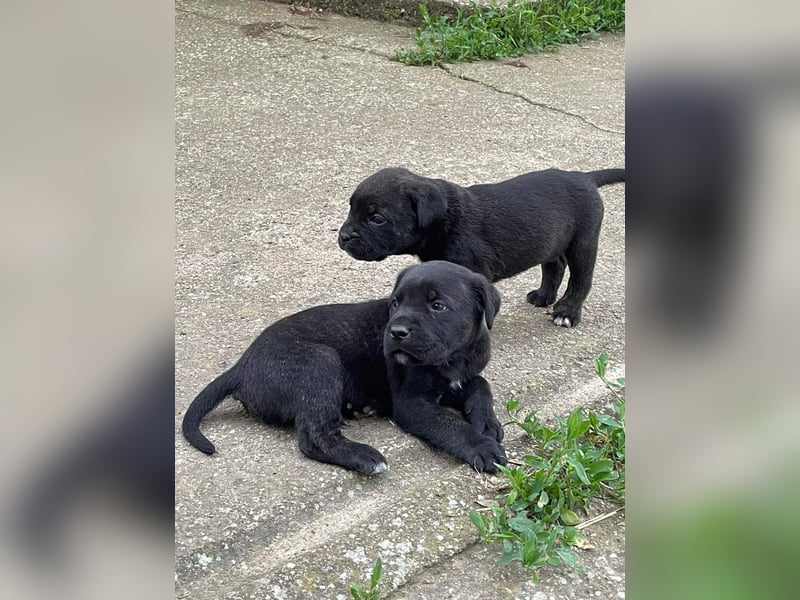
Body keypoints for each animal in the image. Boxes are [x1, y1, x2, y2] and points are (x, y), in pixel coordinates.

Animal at [183, 260, 506, 476]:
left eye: (438, 306)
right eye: (395, 303)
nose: (396, 332)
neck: (455, 356)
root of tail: (241, 366)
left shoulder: (455, 379)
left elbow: (480, 384)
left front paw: (486, 421)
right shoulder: (412, 403)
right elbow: (448, 423)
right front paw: (481, 446)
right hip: (318, 362)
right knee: (314, 436)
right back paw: (364, 456)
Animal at [338, 166, 624, 328]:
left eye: (377, 218)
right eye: (351, 208)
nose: (343, 236)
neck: (446, 220)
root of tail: (584, 178)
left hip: (583, 243)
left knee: (581, 279)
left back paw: (567, 312)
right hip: (552, 239)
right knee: (554, 265)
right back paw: (544, 296)